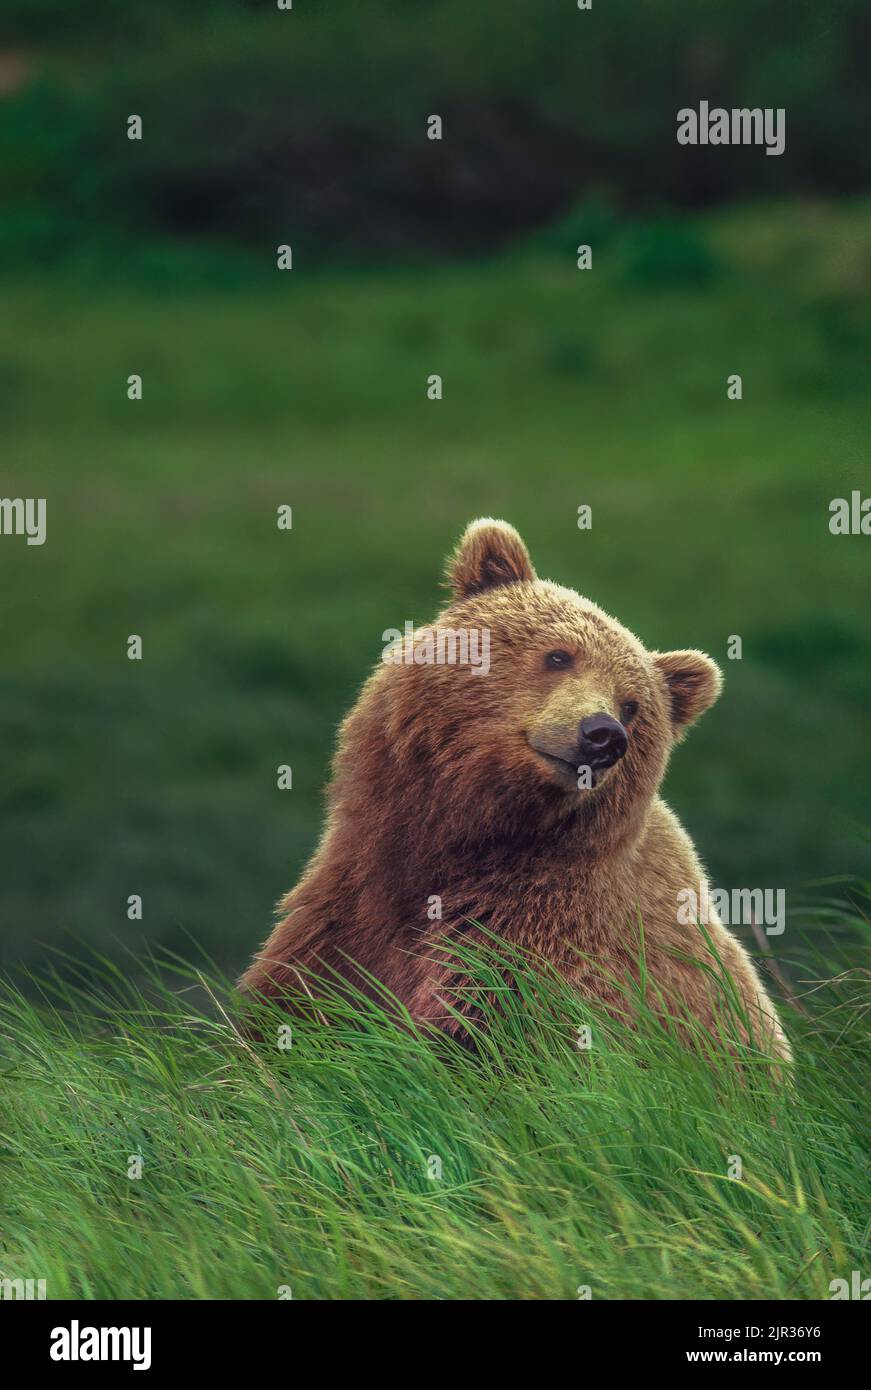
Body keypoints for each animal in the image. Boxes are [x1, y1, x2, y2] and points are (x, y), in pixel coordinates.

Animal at [238, 522, 789, 1061]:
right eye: (559, 655)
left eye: (633, 704)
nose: (604, 734)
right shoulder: (351, 903)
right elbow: (297, 1008)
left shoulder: (539, 935)